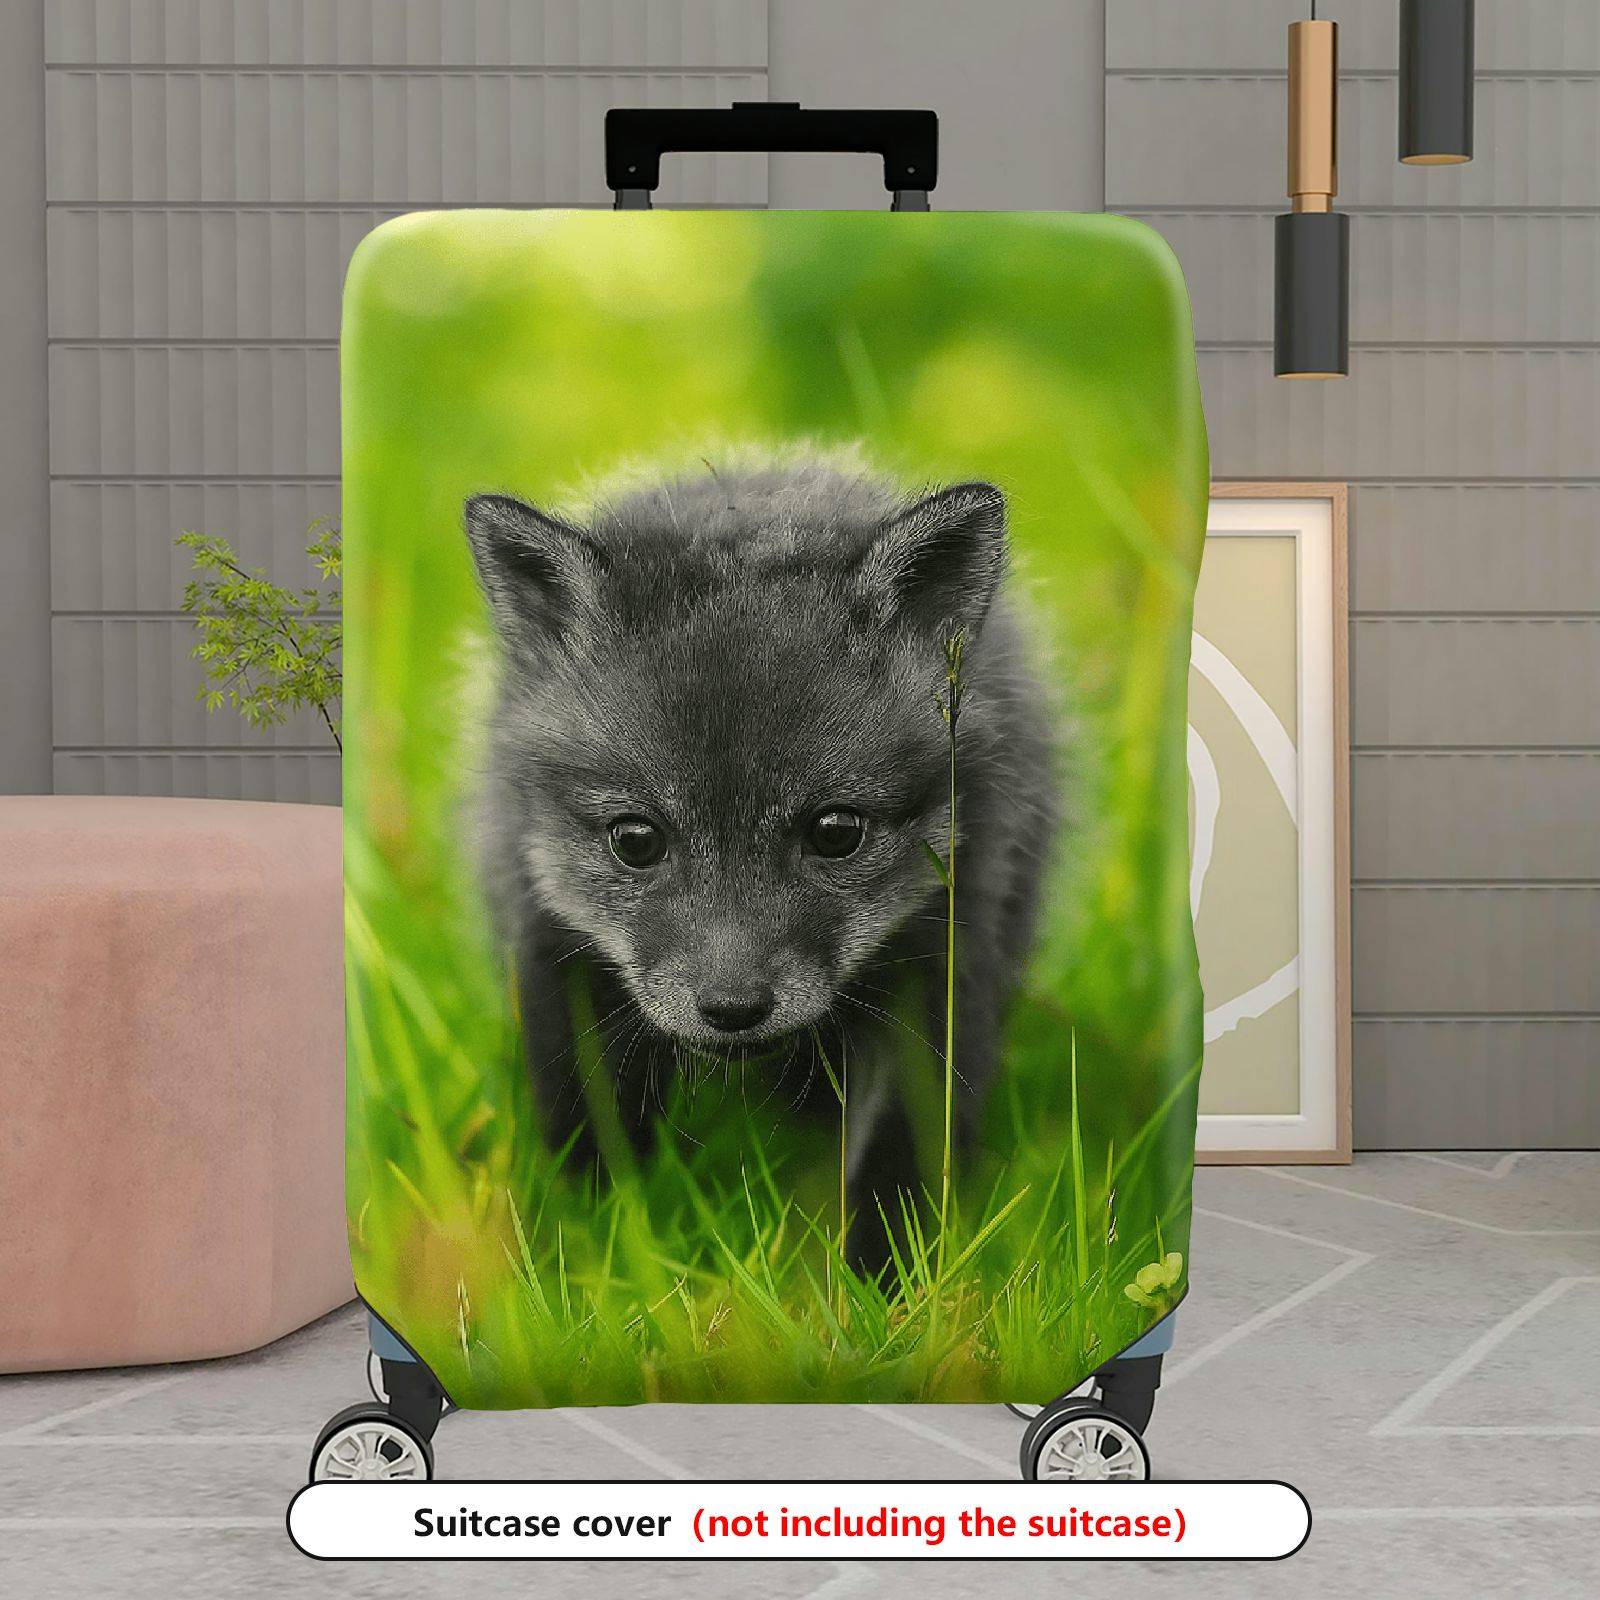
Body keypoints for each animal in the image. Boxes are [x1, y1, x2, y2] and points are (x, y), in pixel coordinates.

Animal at [464, 452, 1058, 1270]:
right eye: (636, 839)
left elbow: (895, 1169)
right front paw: (600, 1264)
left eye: (836, 831)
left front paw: (880, 1292)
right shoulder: (554, 948)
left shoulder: (942, 963)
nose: (733, 1008)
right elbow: (593, 1153)